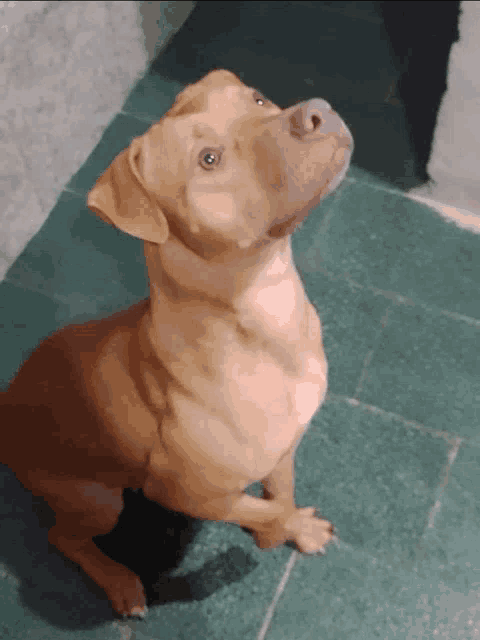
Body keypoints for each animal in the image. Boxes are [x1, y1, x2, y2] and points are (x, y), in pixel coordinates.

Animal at [0, 69, 352, 616]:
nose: (317, 111)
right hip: (98, 500)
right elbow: (259, 509)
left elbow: (281, 497)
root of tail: (5, 404)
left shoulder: (284, 447)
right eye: (208, 159)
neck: (264, 318)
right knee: (65, 538)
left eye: (257, 99)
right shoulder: (186, 494)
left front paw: (295, 527)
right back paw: (119, 582)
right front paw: (271, 534)